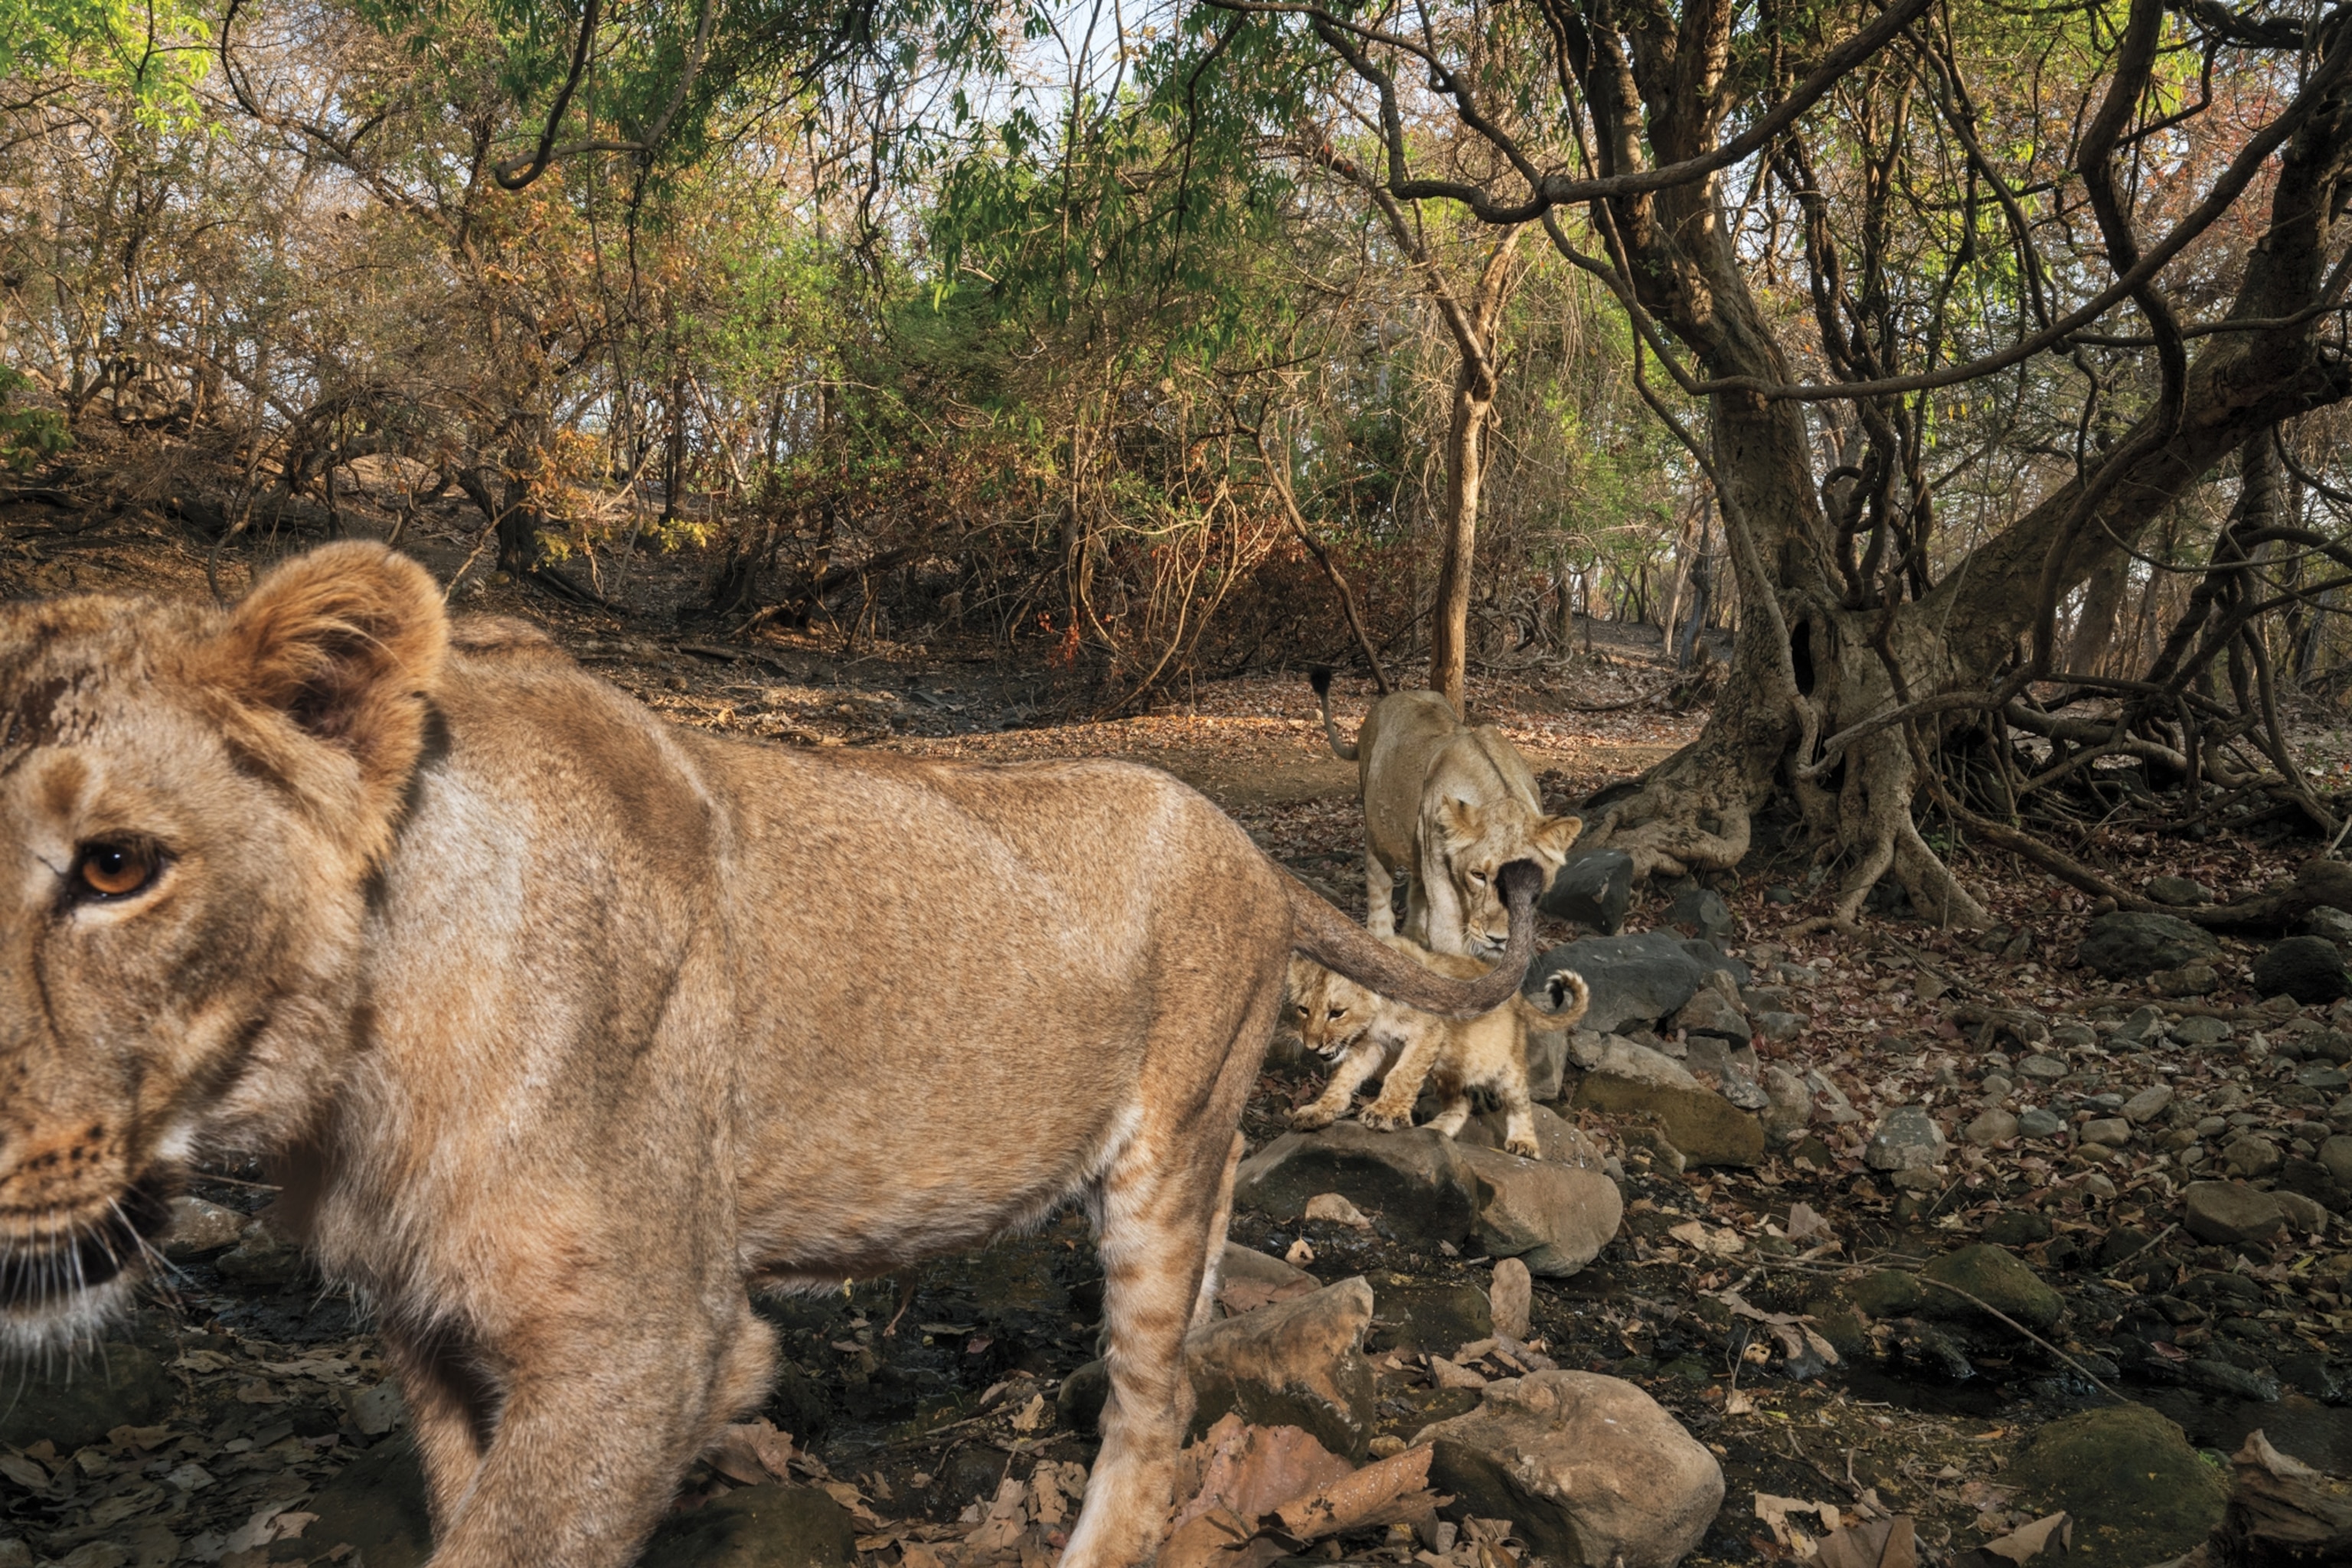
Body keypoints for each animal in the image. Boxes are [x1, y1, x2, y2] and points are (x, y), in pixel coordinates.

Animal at [0, 543, 1545, 1568]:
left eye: (115, 866)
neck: (341, 1089)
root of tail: (1249, 844)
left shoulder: (649, 1342)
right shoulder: (430, 1326)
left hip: (1165, 1153)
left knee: (1154, 1412)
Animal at [1287, 940, 1588, 1156]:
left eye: (1336, 1013)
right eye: (1303, 1009)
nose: (1312, 1046)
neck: (1378, 1014)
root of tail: (1516, 995)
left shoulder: (1430, 1033)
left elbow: (1402, 1074)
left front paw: (1384, 1114)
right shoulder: (1371, 1043)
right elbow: (1345, 1076)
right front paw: (1318, 1111)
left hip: (1504, 1065)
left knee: (1519, 1102)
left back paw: (1525, 1143)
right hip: (1448, 1067)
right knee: (1462, 1103)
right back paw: (1435, 1131)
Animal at [1310, 670, 1584, 958]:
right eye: (1478, 875)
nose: (1498, 938)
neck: (1500, 796)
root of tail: (1387, 700)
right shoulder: (1443, 895)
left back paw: (1414, 937)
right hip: (1378, 834)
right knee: (1379, 887)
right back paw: (1383, 939)